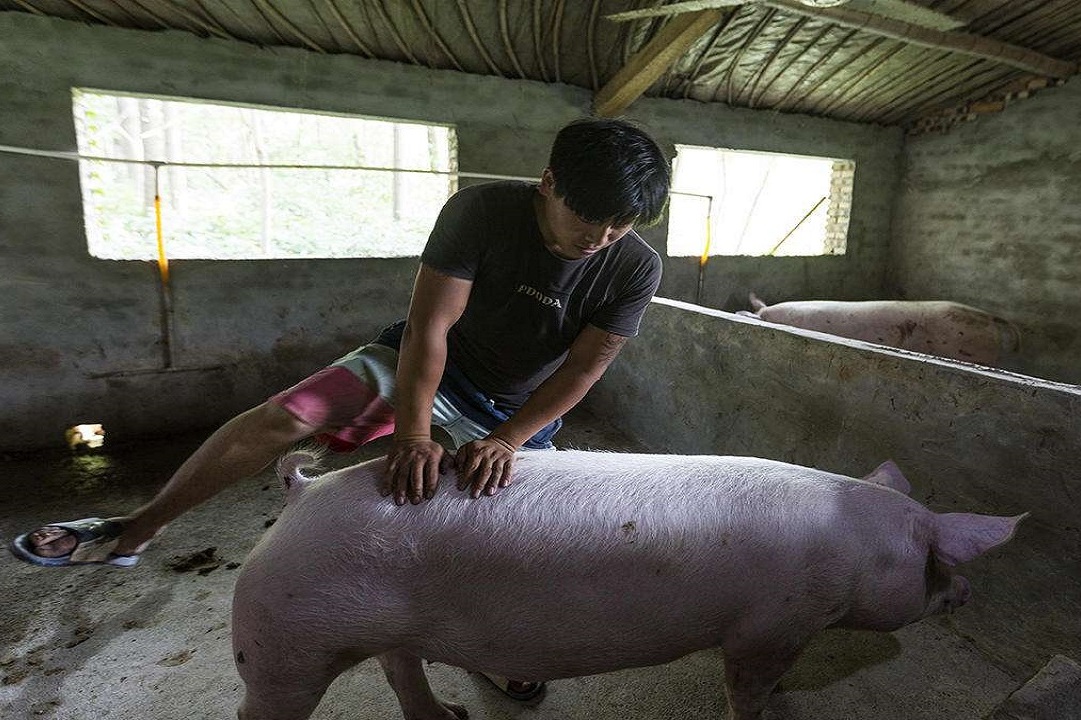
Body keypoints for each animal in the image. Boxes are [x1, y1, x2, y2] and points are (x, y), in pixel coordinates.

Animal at [228, 449, 1020, 717]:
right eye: (937, 563)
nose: (968, 593)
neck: (854, 547)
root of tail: (300, 492)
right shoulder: (768, 625)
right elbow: (744, 687)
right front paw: (763, 707)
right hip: (282, 639)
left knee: (400, 667)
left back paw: (448, 718)